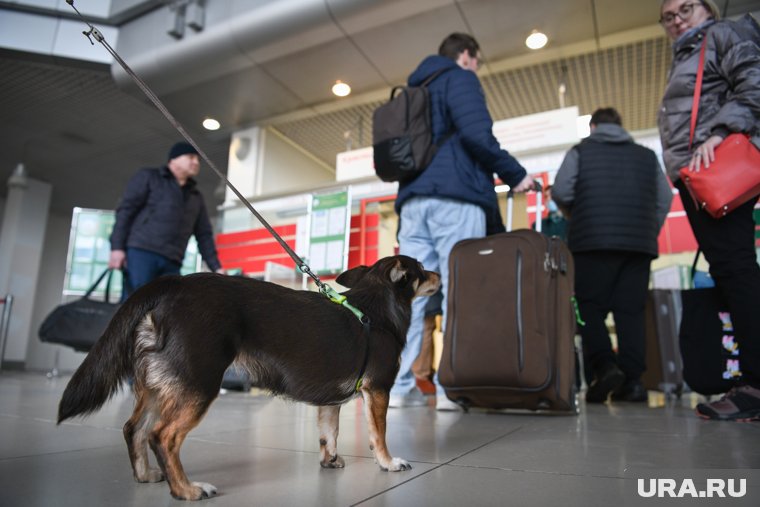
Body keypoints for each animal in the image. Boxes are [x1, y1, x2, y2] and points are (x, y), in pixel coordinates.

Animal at [58, 256, 440, 502]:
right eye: (422, 271)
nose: (438, 274)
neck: (376, 309)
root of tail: (175, 284)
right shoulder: (378, 391)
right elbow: (379, 435)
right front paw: (389, 462)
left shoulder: (330, 401)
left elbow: (328, 433)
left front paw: (330, 461)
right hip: (198, 384)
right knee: (162, 436)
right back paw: (186, 490)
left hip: (160, 385)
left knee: (134, 429)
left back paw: (146, 475)